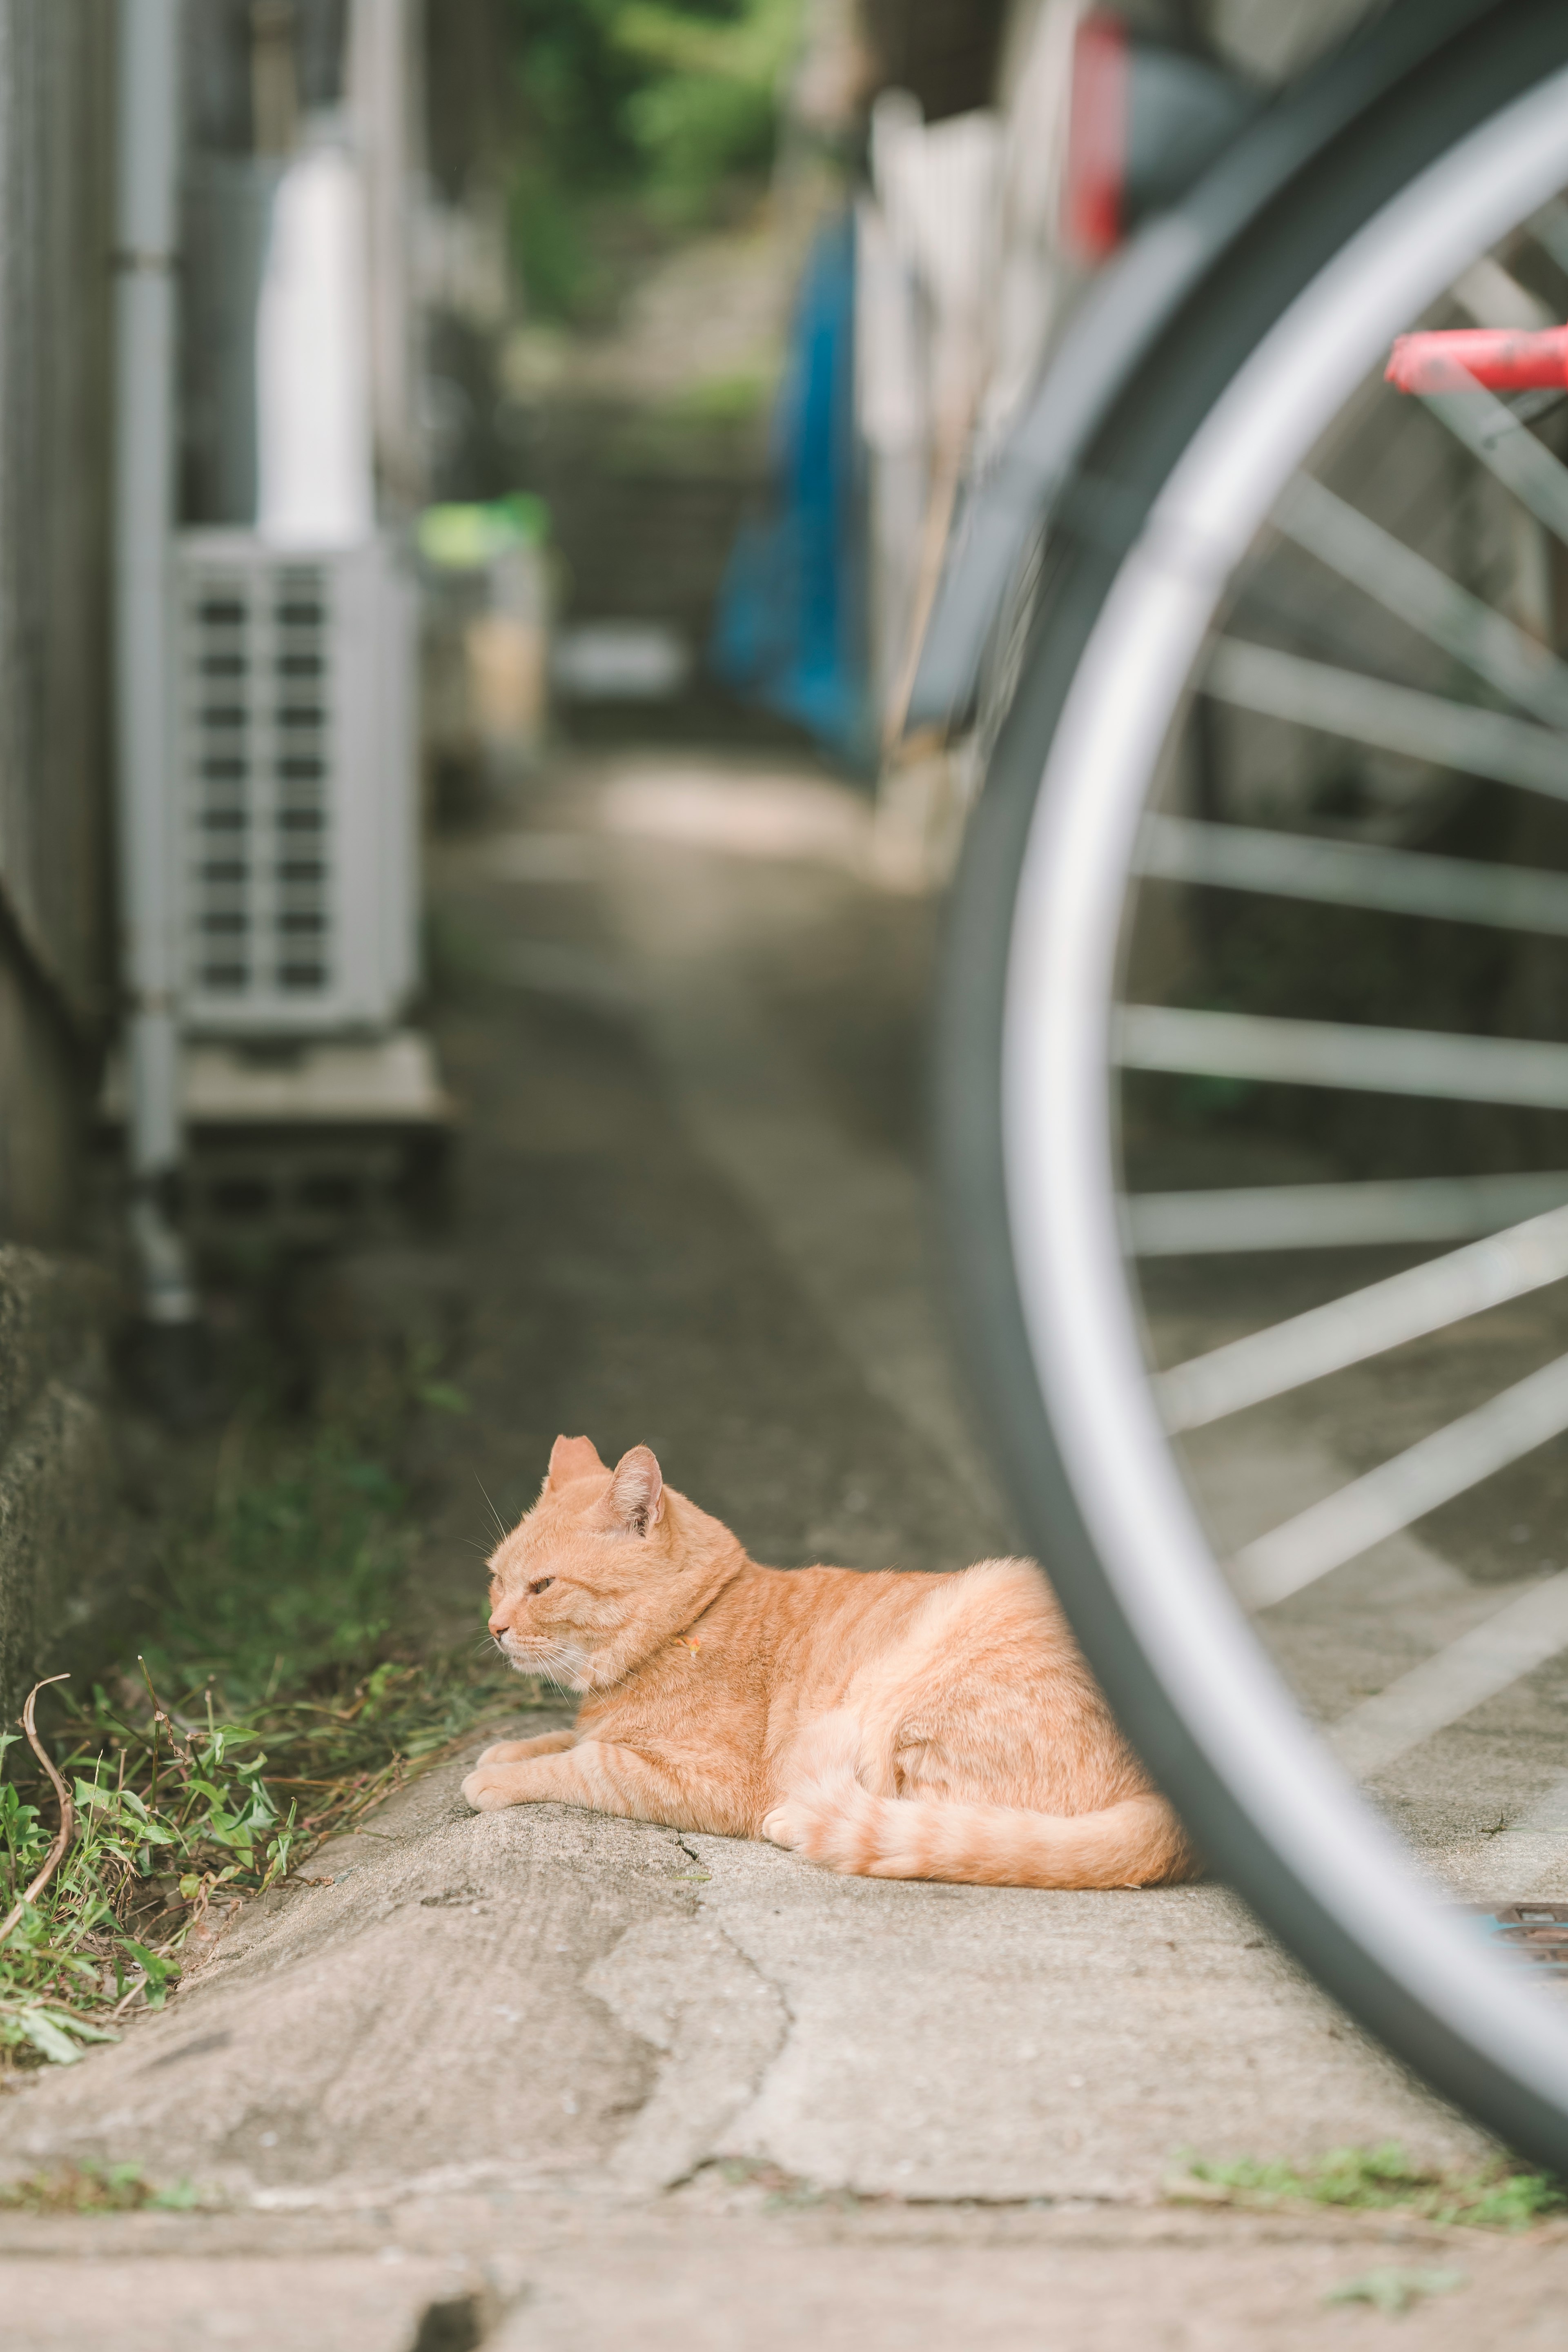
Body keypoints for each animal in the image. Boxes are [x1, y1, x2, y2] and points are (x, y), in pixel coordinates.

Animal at [461, 1430, 1194, 1891]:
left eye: (543, 1587)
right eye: (497, 1578)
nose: (495, 1629)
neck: (693, 1623)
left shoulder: (698, 1783)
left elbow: (584, 1763)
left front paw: (494, 1779)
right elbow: (564, 1738)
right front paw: (509, 1750)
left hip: (908, 1687)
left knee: (920, 1824)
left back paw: (796, 1821)